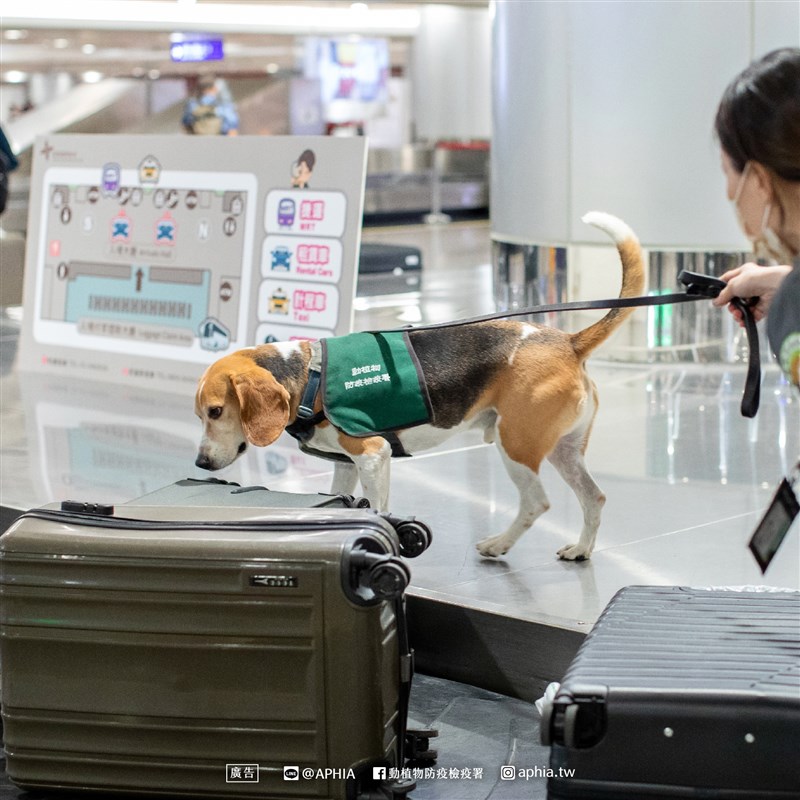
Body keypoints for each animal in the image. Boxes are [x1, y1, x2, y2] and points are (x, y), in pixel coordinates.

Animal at [197, 214, 648, 564]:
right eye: (200, 414)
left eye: (216, 411)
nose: (200, 463)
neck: (308, 375)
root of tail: (567, 341)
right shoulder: (346, 464)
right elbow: (340, 499)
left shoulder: (373, 455)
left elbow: (378, 510)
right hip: (562, 450)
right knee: (594, 498)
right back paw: (581, 548)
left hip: (516, 445)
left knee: (537, 502)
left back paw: (499, 544)